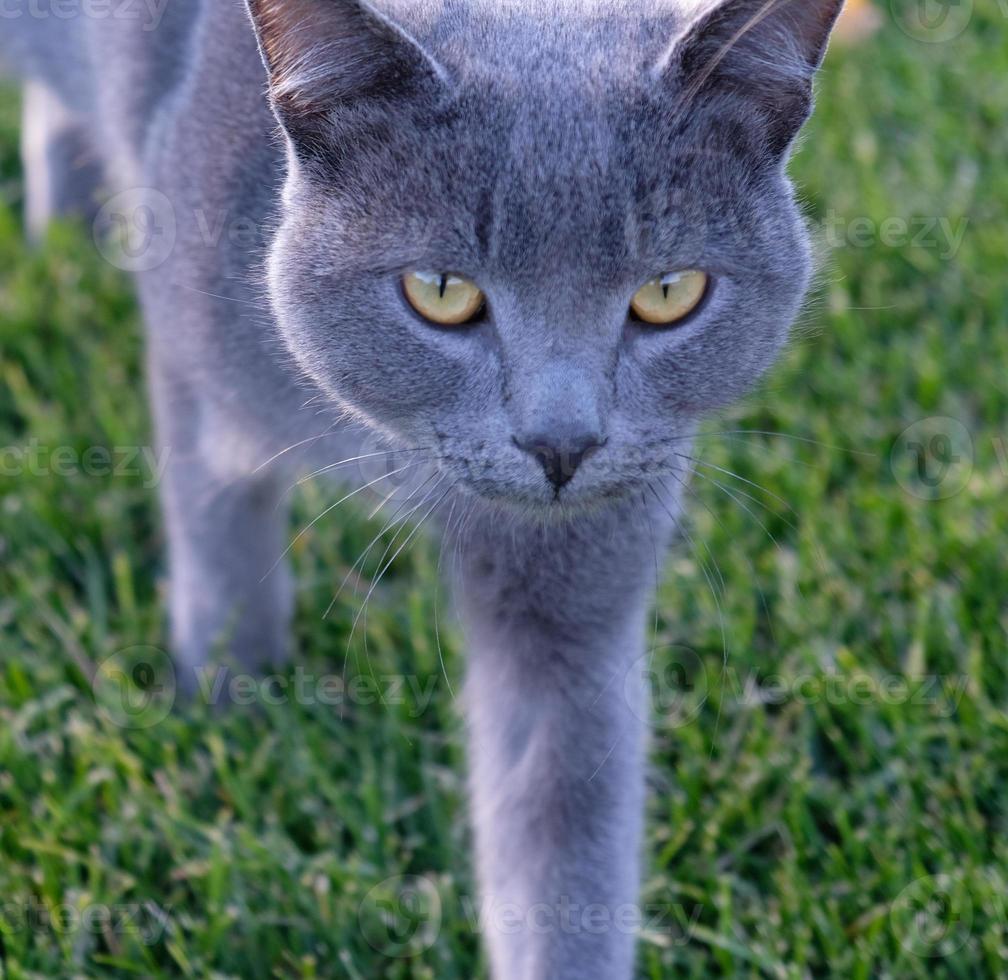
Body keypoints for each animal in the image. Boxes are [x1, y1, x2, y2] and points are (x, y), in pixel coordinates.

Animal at [3, 0, 846, 971]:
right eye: (440, 291)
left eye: (670, 291)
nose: (561, 443)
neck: (390, 452)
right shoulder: (193, 372)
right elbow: (220, 559)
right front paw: (226, 711)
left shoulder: (574, 602)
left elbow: (561, 831)